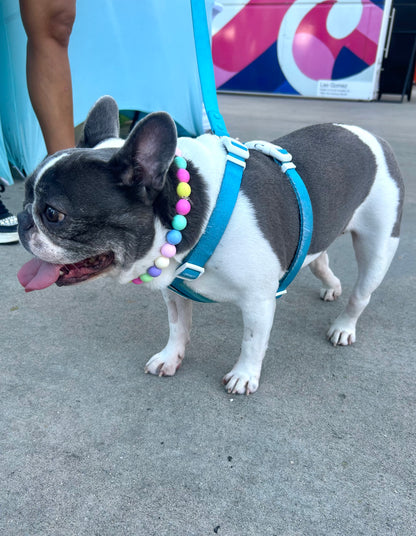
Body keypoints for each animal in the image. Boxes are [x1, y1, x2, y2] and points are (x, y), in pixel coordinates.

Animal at [17, 96, 404, 394]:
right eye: (25, 196)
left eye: (53, 214)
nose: (22, 219)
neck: (197, 218)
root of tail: (374, 137)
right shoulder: (173, 292)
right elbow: (178, 327)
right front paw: (170, 357)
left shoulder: (258, 301)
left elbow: (252, 340)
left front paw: (244, 376)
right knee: (321, 259)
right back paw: (332, 286)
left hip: (378, 247)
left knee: (361, 295)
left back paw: (344, 327)